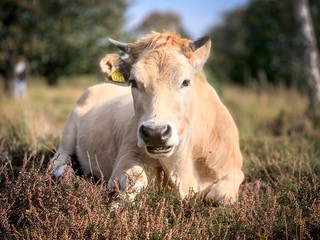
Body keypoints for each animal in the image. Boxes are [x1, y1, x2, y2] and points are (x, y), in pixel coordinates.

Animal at [50, 31, 245, 204]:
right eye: (133, 82)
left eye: (185, 82)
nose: (155, 133)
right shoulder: (125, 157)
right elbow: (137, 179)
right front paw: (117, 205)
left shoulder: (235, 171)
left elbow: (219, 196)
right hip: (68, 134)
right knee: (57, 160)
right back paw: (67, 174)